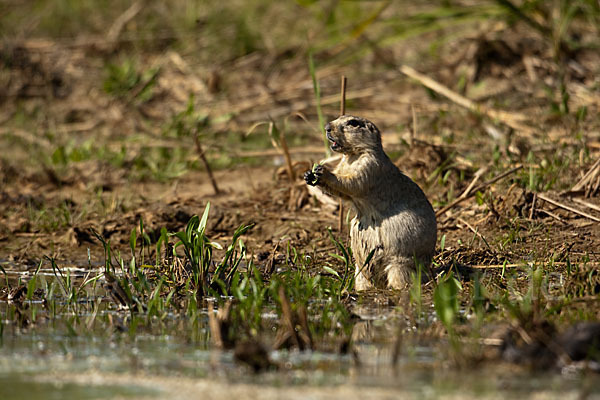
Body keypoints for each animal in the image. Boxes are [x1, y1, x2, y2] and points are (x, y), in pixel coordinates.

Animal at [304, 114, 436, 290]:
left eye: (353, 123)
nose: (326, 127)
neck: (352, 155)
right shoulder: (344, 164)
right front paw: (308, 175)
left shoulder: (370, 165)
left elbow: (352, 182)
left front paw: (323, 171)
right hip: (360, 272)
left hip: (400, 266)